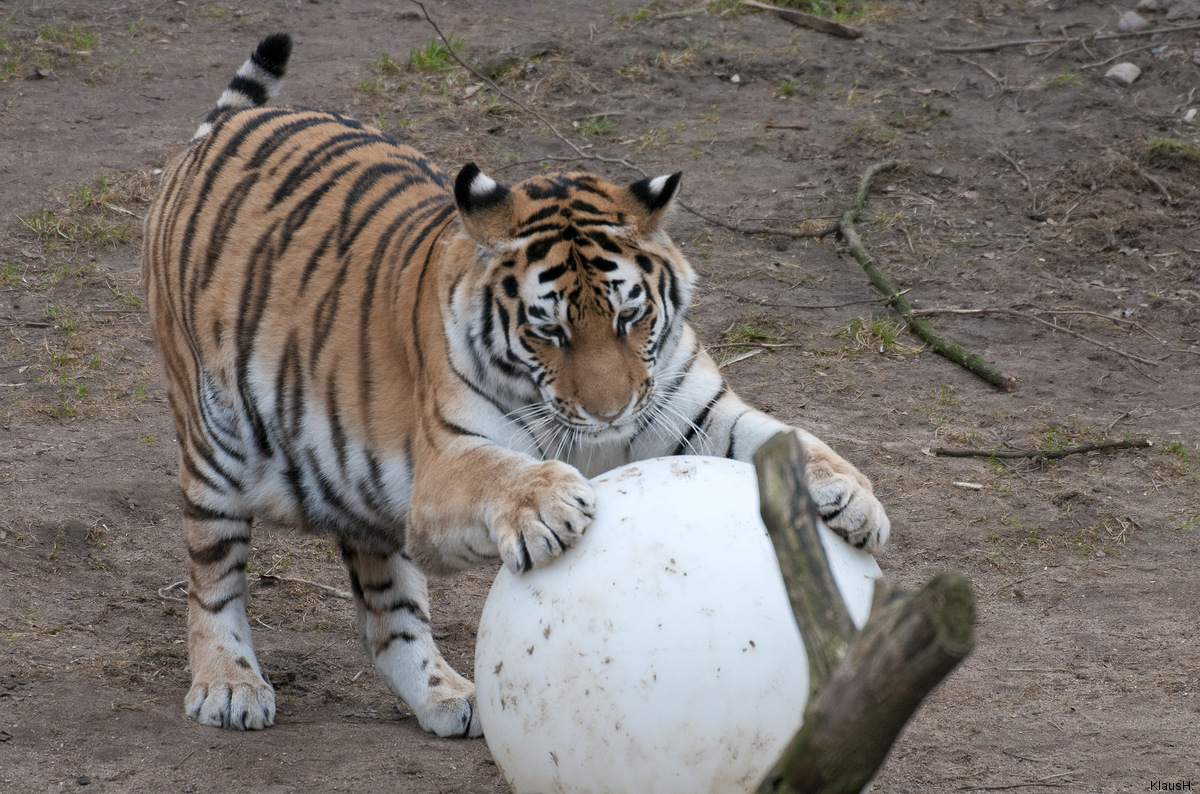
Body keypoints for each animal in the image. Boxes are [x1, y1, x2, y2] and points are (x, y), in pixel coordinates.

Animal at [142, 31, 892, 738]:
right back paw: (229, 685)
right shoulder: (443, 465)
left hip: (360, 493)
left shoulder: (693, 413)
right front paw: (547, 504)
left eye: (630, 317)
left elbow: (785, 437)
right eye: (548, 331)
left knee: (389, 616)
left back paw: (446, 697)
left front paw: (852, 498)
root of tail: (225, 126)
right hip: (217, 445)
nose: (611, 412)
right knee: (211, 580)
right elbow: (500, 472)